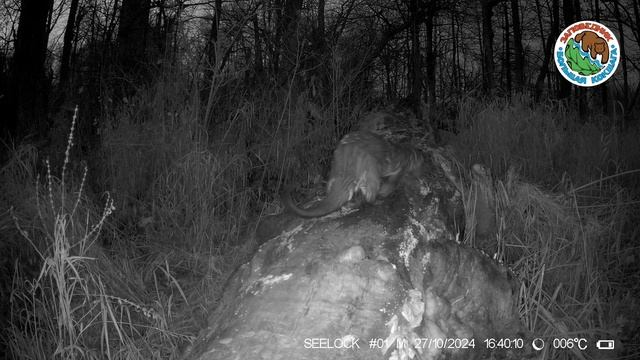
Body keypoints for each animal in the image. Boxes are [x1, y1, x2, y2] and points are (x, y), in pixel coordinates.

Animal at [282, 131, 422, 218]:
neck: (407, 154)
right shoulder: (400, 169)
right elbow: (391, 184)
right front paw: (385, 193)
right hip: (371, 171)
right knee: (369, 196)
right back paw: (375, 201)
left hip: (334, 171)